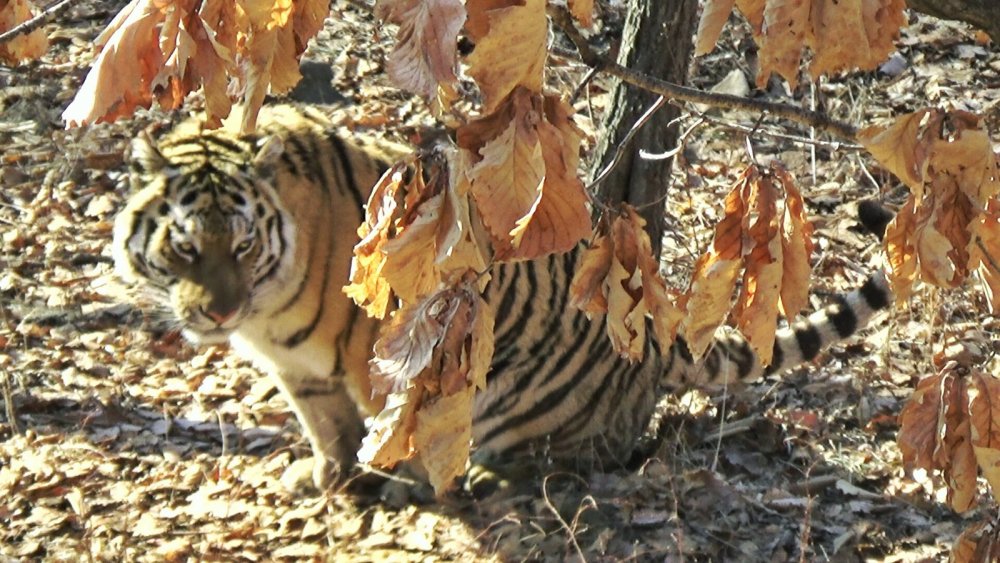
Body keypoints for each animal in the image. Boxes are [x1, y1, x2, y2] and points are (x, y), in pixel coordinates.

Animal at [112, 104, 892, 492]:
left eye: (243, 247)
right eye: (187, 248)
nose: (216, 312)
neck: (268, 315)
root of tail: (653, 336)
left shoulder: (386, 351)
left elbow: (385, 423)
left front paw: (387, 478)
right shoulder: (297, 370)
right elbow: (323, 423)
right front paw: (325, 473)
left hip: (524, 396)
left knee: (587, 457)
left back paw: (484, 475)